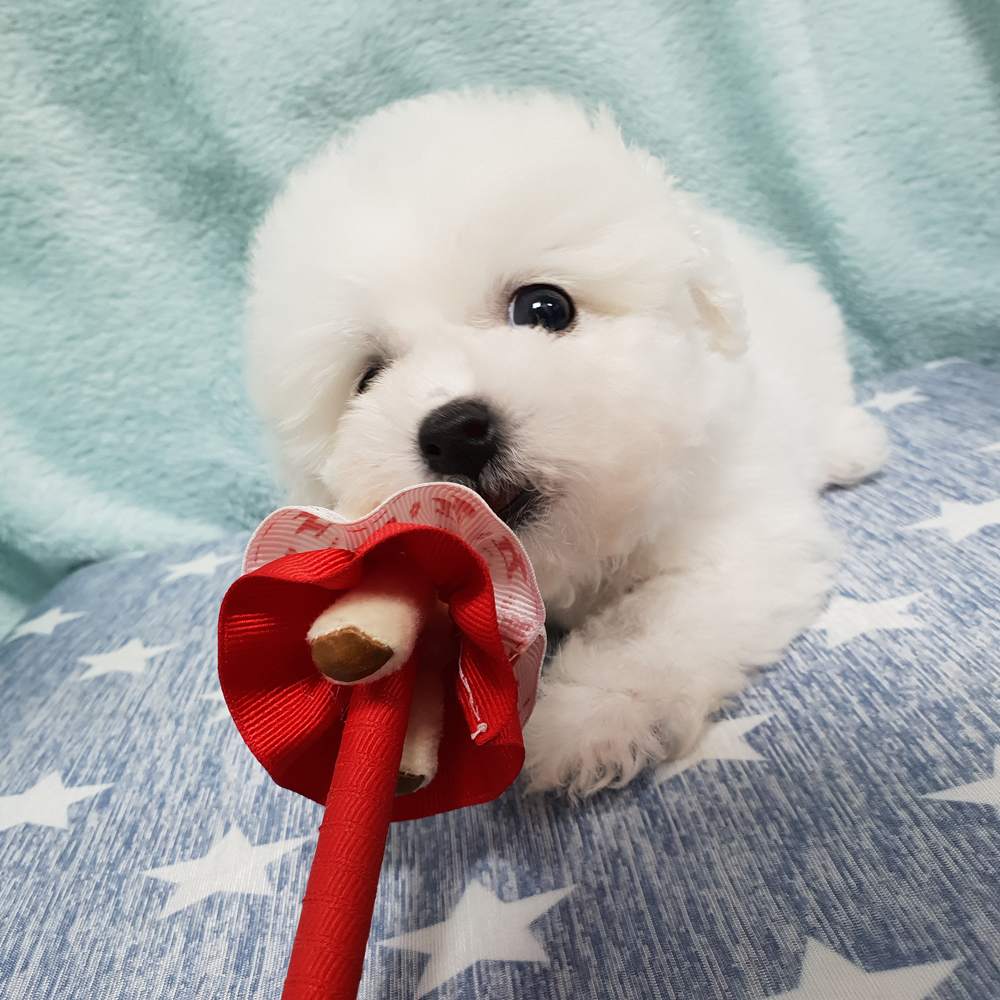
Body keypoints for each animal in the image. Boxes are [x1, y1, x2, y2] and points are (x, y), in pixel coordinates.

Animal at [245, 90, 889, 798]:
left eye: (545, 308)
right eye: (367, 379)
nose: (454, 432)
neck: (584, 547)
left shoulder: (734, 542)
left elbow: (651, 626)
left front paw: (586, 718)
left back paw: (852, 445)